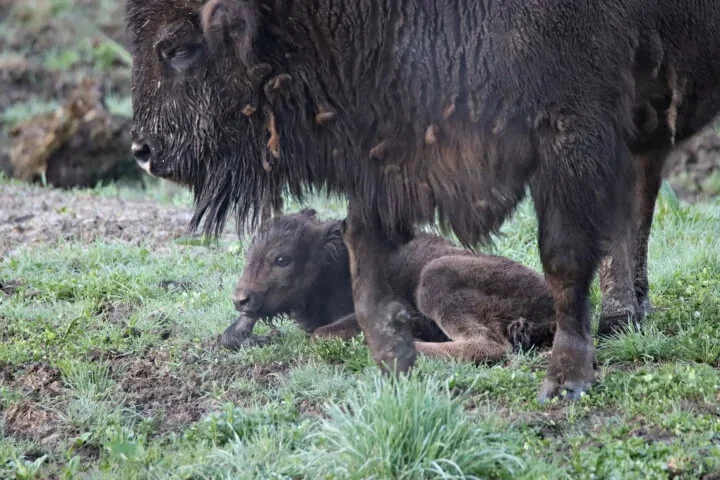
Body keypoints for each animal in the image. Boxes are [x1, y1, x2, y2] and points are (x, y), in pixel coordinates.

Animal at [222, 210, 556, 364]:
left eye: (282, 258)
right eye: (249, 252)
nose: (241, 299)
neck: (333, 262)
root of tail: (548, 303)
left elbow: (321, 334)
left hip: (435, 277)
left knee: (488, 344)